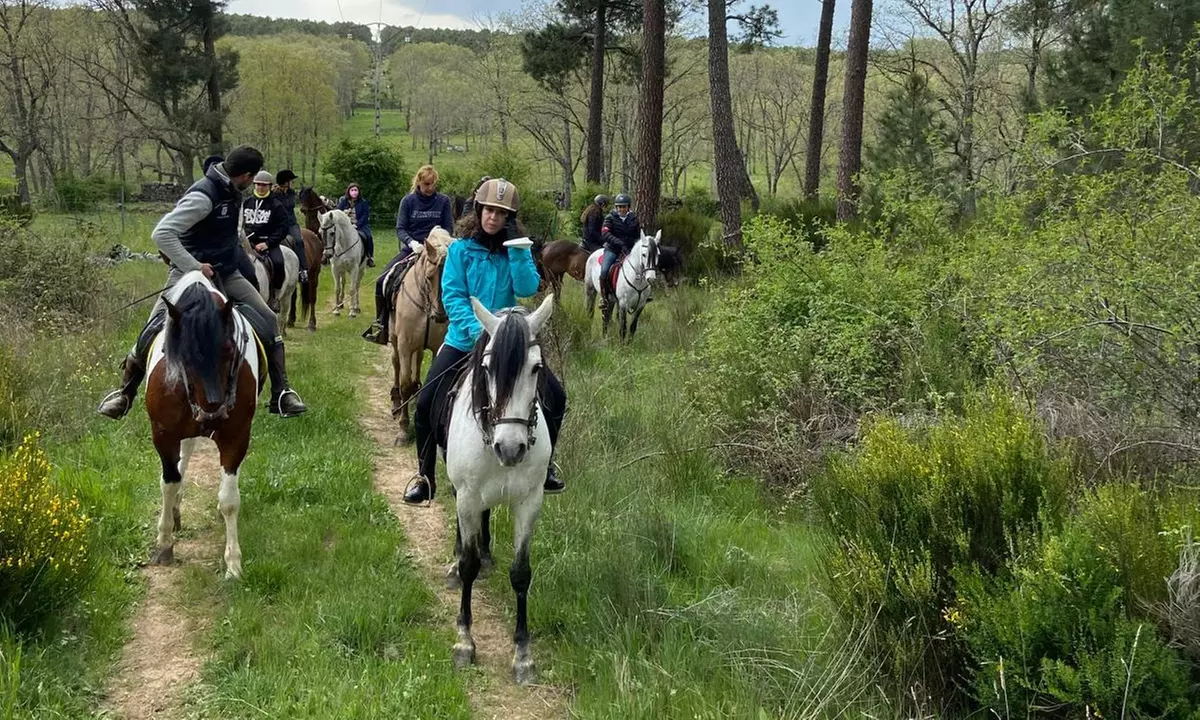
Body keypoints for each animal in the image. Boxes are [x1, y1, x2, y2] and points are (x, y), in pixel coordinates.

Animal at [144, 271, 264, 580]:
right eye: (182, 354)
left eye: (230, 349)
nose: (214, 412)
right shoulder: (163, 434)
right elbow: (168, 482)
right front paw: (164, 544)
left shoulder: (236, 435)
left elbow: (229, 500)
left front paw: (233, 564)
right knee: (180, 465)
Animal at [389, 227, 453, 445]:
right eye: (428, 277)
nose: (440, 316)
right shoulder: (405, 345)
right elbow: (405, 383)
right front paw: (402, 430)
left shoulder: (437, 346)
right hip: (395, 340)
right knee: (396, 364)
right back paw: (396, 402)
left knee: (418, 362)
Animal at [443, 294, 556, 685]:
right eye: (488, 368)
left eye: (536, 368)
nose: (510, 449)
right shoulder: (466, 497)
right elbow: (468, 564)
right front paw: (464, 641)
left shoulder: (530, 502)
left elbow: (521, 573)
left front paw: (523, 655)